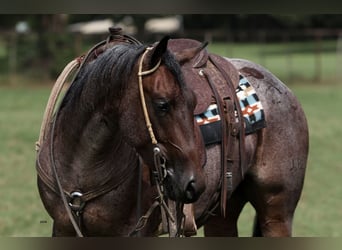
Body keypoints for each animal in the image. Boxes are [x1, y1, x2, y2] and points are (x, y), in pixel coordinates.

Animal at [36, 30, 308, 237]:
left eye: (193, 102)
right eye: (162, 104)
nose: (193, 182)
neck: (82, 169)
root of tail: (282, 88)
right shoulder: (63, 228)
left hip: (276, 211)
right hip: (225, 209)